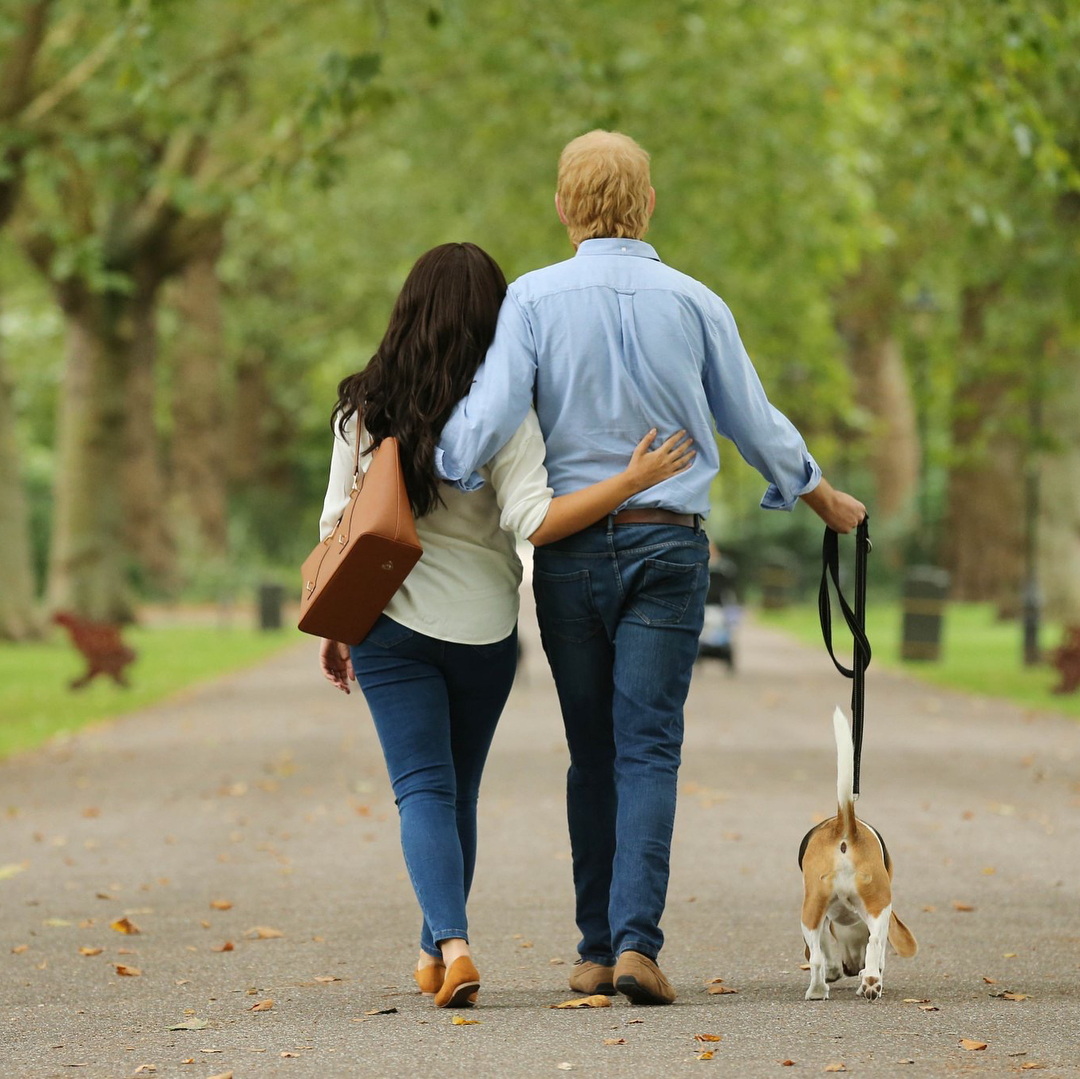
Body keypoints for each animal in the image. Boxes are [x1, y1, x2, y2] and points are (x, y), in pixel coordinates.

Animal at [799, 708, 915, 1002]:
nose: (851, 969)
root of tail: (845, 825)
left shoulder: (824, 919)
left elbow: (824, 949)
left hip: (814, 908)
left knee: (817, 957)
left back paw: (819, 990)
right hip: (878, 904)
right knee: (874, 942)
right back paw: (868, 982)